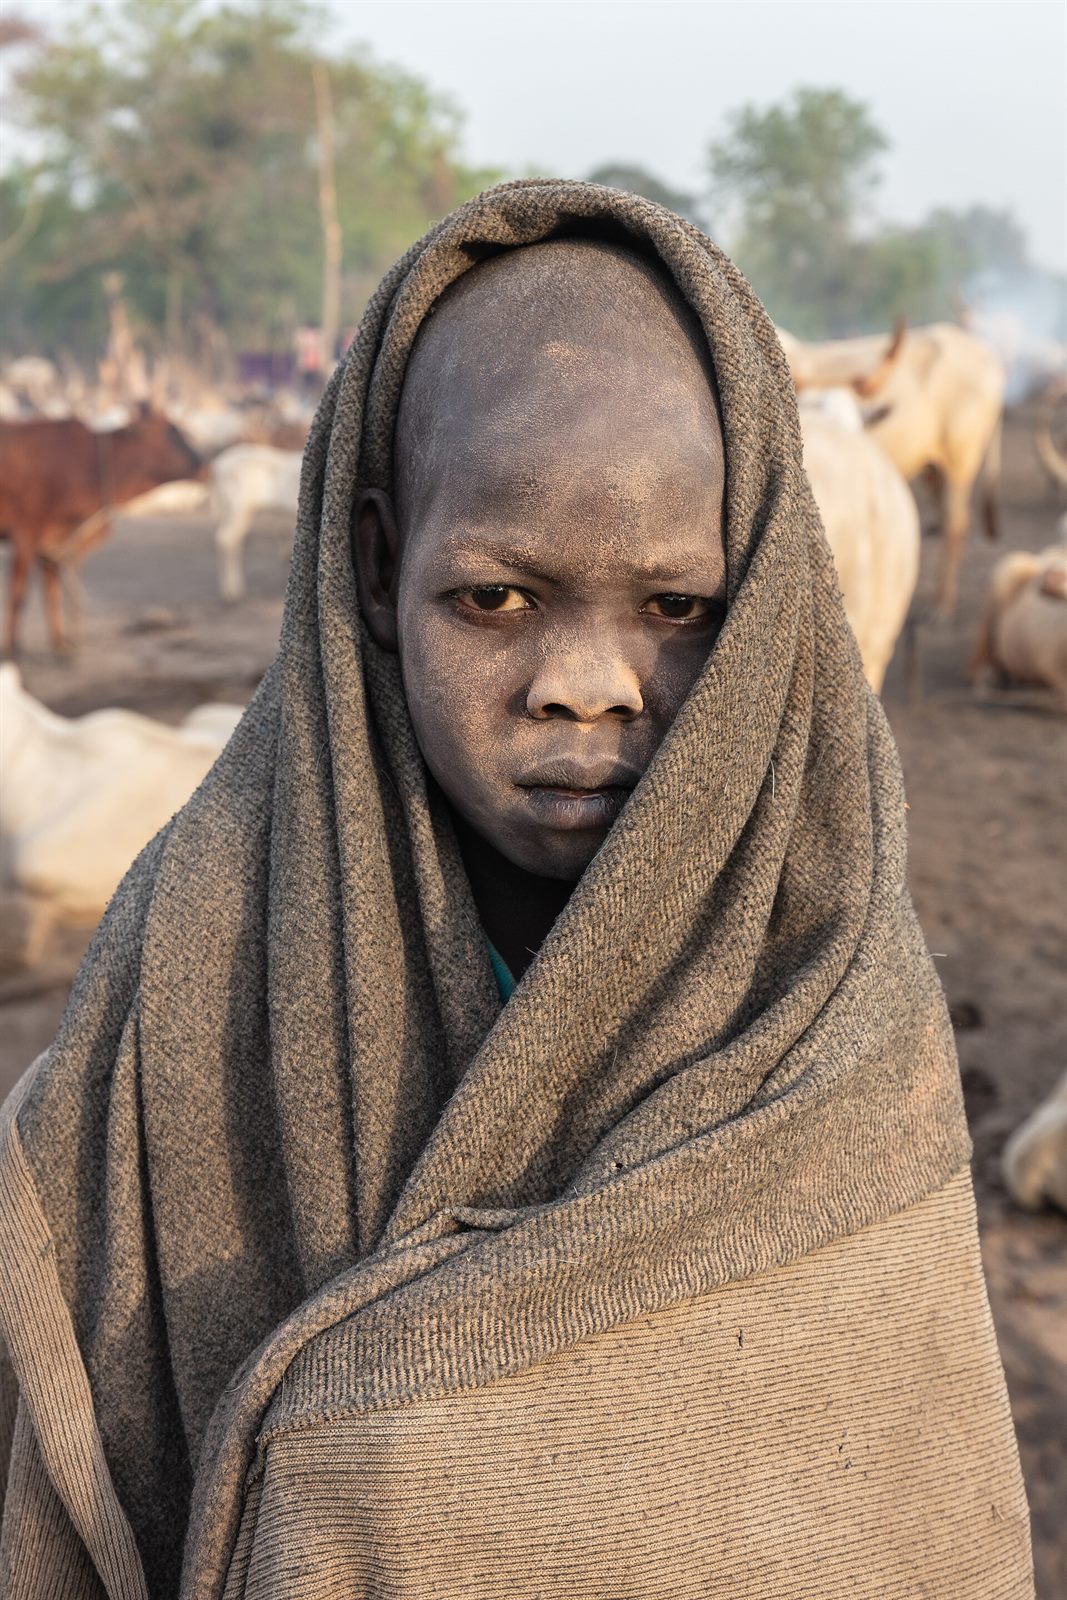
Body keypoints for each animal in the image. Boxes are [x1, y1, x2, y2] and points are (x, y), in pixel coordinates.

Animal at [0, 409, 202, 655]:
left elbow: (52, 592)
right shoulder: (26, 533)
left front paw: (60, 644)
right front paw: (12, 649)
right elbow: (18, 595)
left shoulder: (53, 541)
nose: (204, 464)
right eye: (171, 432)